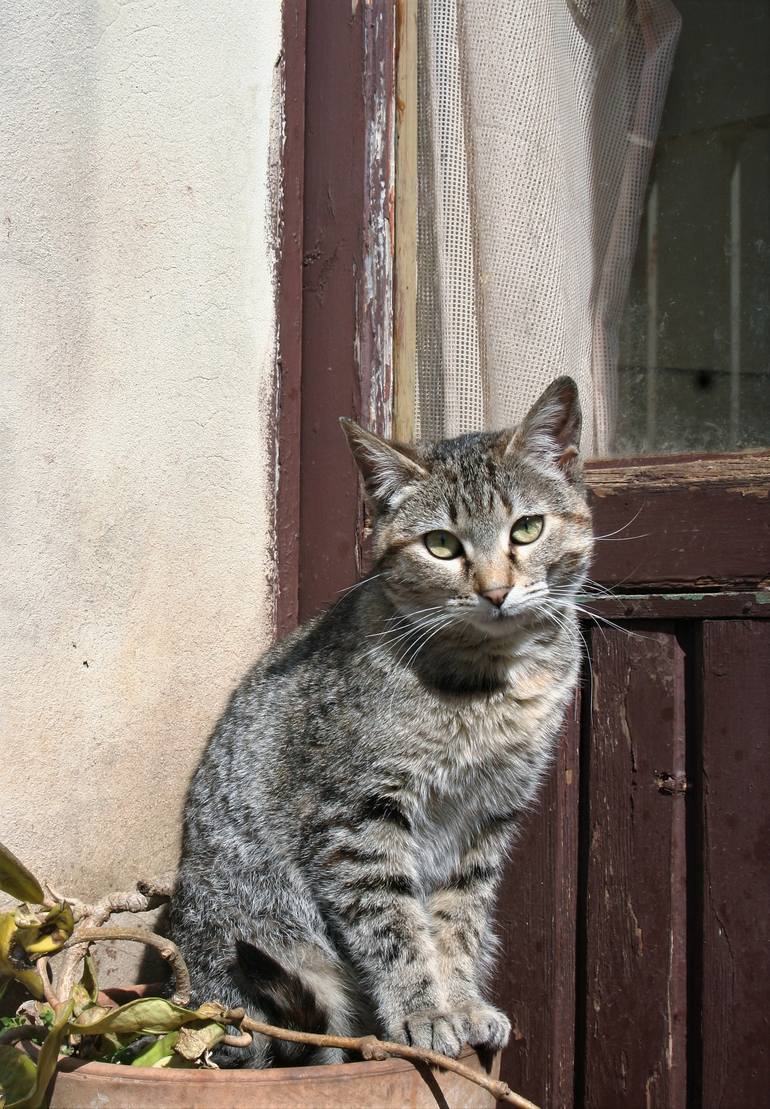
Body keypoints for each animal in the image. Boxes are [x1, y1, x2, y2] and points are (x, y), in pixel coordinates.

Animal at [170, 379, 590, 1064]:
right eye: (442, 544)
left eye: (527, 529)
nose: (497, 590)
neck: (490, 685)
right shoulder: (358, 819)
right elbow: (395, 927)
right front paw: (424, 1013)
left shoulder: (486, 818)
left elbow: (457, 922)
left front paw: (463, 1004)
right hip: (256, 958)